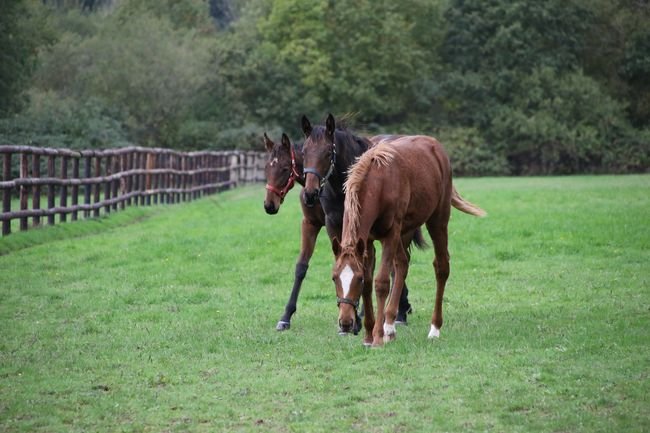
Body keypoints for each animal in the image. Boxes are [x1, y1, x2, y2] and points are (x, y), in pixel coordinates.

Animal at [263, 133, 326, 331]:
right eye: (266, 168)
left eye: (284, 169)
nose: (269, 205)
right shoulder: (310, 225)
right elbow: (301, 267)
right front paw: (286, 317)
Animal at [301, 114, 418, 334]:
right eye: (303, 152)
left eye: (328, 152)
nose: (310, 193)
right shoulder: (335, 228)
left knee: (399, 264)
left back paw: (398, 313)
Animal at [330, 135, 486, 347]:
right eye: (334, 278)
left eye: (357, 279)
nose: (345, 323)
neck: (378, 184)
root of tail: (436, 146)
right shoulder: (367, 241)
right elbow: (371, 283)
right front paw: (369, 335)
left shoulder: (390, 235)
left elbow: (381, 282)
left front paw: (377, 338)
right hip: (405, 231)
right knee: (402, 264)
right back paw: (390, 327)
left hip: (437, 220)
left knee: (441, 266)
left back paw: (434, 329)